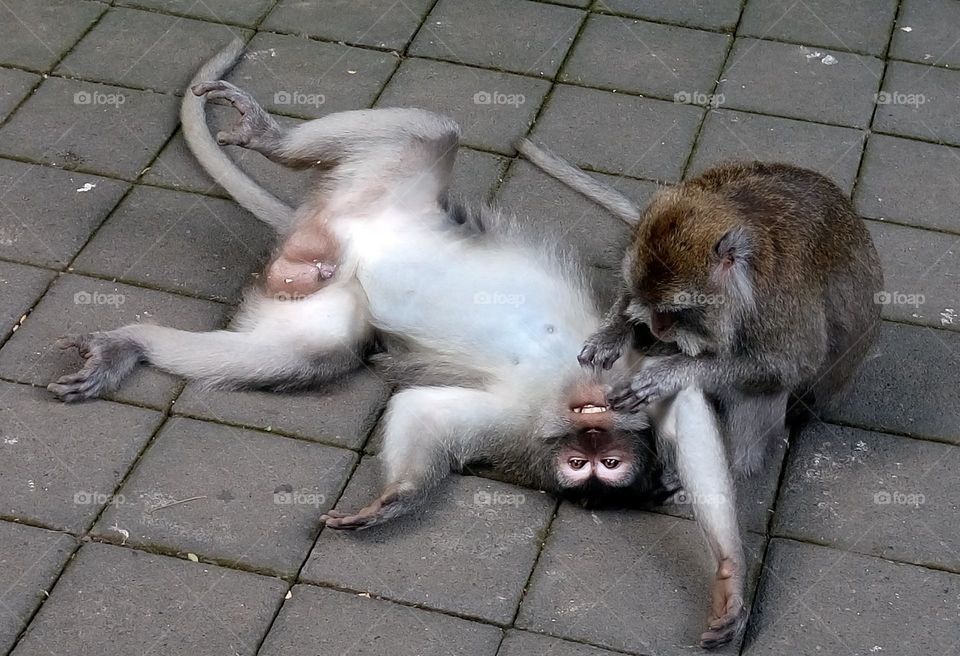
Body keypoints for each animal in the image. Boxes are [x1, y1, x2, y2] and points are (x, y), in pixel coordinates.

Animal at [517, 139, 884, 647]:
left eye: (675, 312)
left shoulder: (779, 303)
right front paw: (615, 331)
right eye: (650, 305)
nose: (653, 328)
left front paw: (670, 370)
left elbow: (788, 363)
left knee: (765, 389)